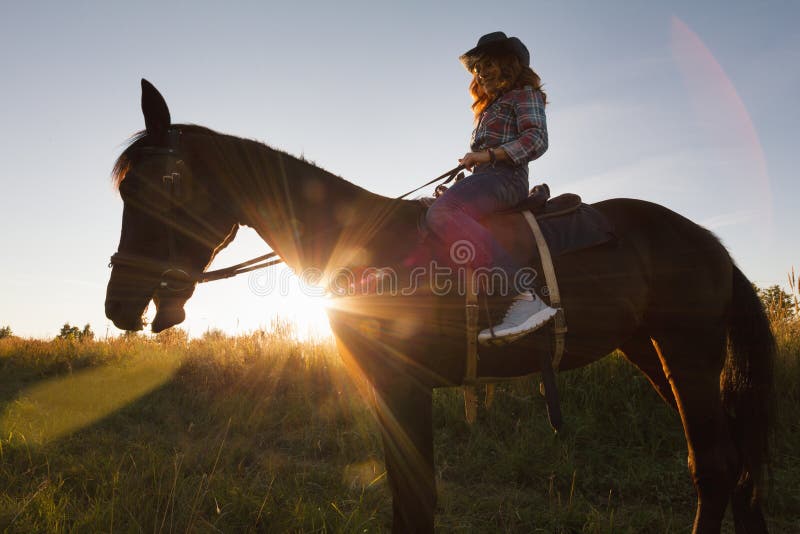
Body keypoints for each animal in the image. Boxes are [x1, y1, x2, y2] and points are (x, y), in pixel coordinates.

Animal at [103, 80, 772, 534]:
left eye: (161, 185)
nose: (120, 304)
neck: (368, 245)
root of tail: (707, 242)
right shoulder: (384, 389)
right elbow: (407, 499)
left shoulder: (404, 386)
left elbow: (417, 499)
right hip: (653, 351)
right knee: (732, 464)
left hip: (688, 354)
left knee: (714, 465)